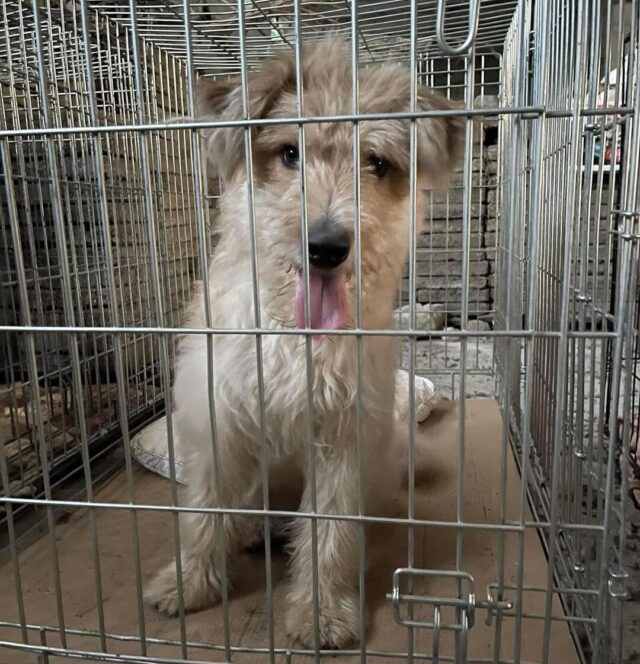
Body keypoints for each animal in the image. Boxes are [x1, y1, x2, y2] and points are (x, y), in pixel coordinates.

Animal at [146, 40, 464, 648]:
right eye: (289, 153)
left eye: (377, 163)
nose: (327, 246)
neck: (295, 335)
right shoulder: (220, 418)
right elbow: (203, 512)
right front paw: (188, 583)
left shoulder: (345, 434)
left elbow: (330, 532)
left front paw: (322, 612)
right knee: (242, 505)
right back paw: (249, 528)